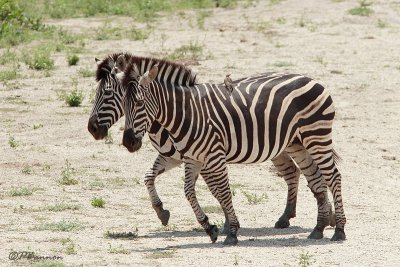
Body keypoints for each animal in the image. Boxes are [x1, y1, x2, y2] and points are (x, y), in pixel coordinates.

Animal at [88, 53, 340, 246]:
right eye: (122, 99)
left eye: (108, 94)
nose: (92, 129)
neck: (180, 115)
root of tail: (310, 79)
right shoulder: (183, 157)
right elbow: (163, 181)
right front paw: (171, 215)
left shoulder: (205, 156)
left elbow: (219, 191)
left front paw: (229, 228)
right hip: (293, 144)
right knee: (309, 176)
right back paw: (317, 223)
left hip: (311, 138)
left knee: (325, 175)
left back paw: (333, 226)